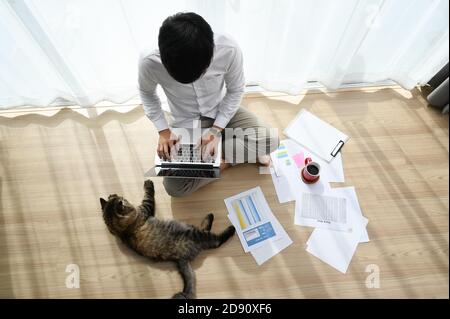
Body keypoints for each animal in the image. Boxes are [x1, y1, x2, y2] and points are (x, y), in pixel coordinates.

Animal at [99, 180, 236, 300]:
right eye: (124, 200)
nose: (122, 197)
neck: (122, 230)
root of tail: (181, 259)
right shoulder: (146, 208)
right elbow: (148, 195)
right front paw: (148, 182)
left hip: (193, 230)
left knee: (205, 228)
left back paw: (209, 216)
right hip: (197, 234)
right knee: (216, 240)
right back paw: (230, 228)